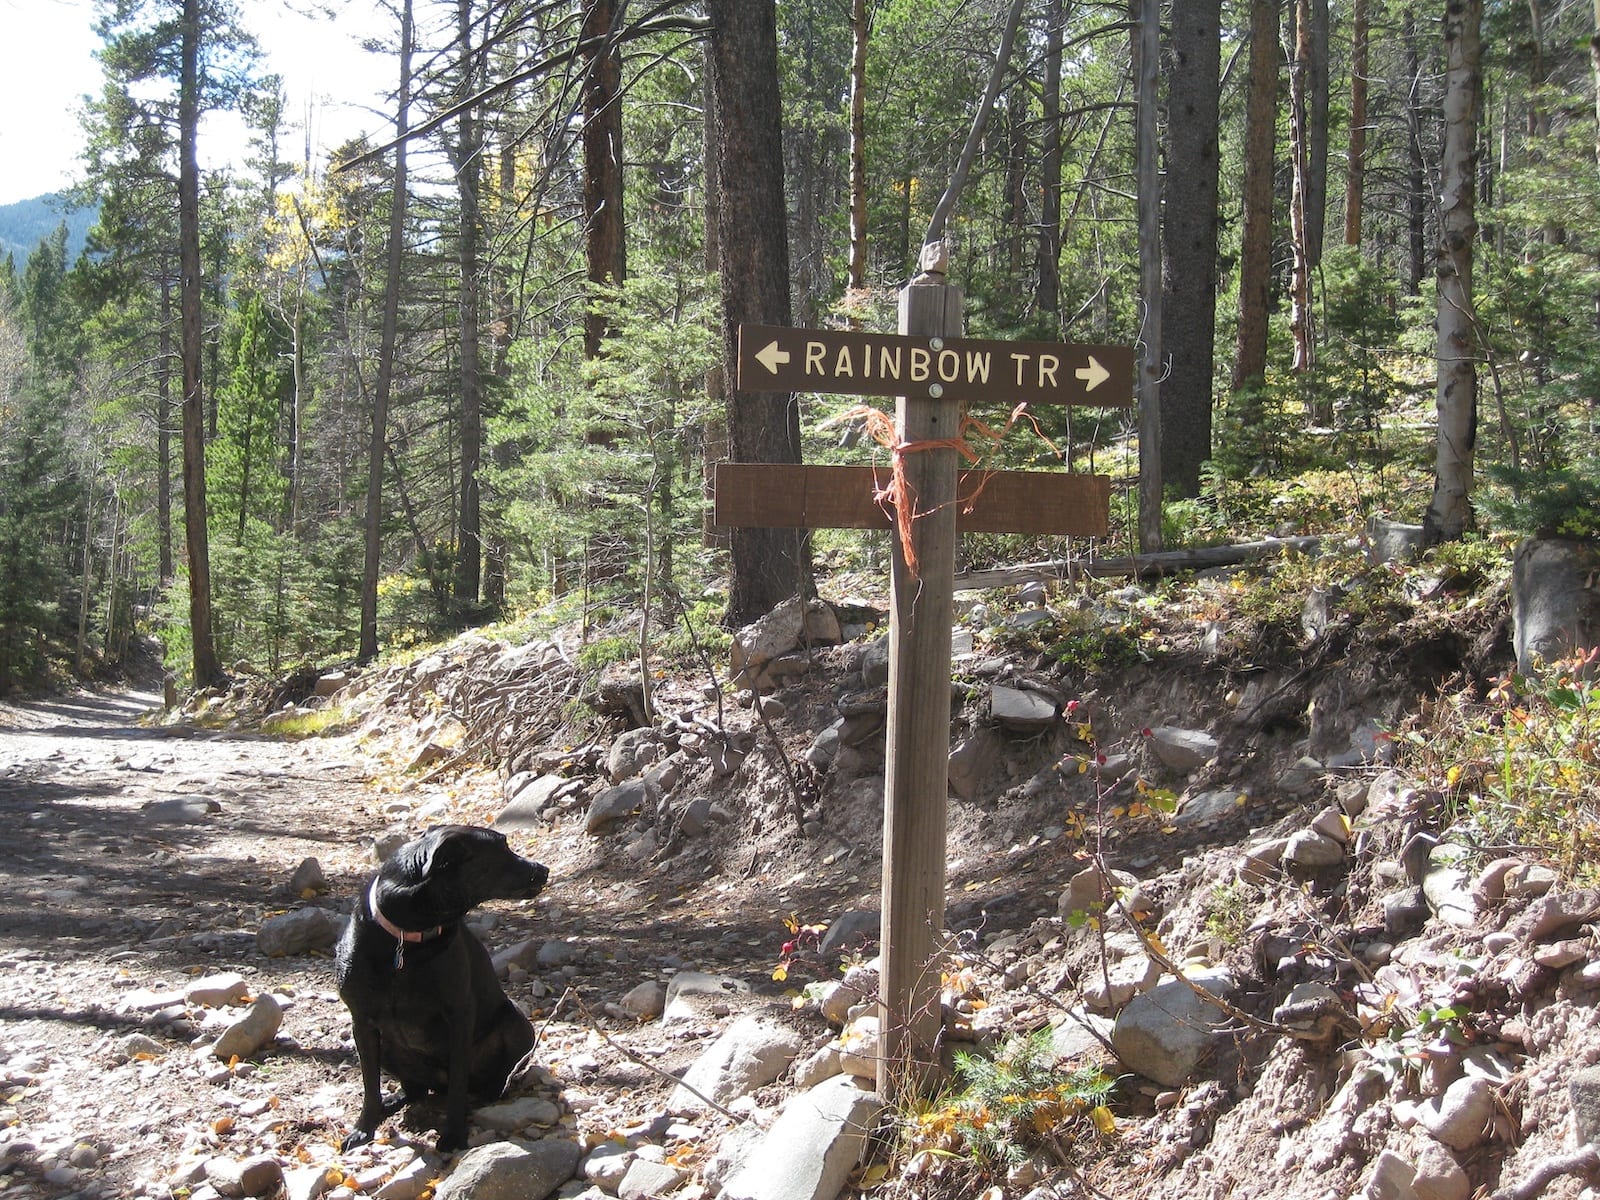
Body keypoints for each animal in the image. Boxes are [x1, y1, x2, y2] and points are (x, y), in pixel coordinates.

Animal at [334, 825, 547, 1158]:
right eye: (502, 850)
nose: (544, 870)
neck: (405, 938)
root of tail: (437, 1084)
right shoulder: (362, 1024)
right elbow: (370, 1085)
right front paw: (363, 1129)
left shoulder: (458, 1016)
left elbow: (458, 1085)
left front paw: (453, 1135)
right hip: (389, 1049)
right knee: (415, 1089)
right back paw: (392, 1102)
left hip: (518, 1026)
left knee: (484, 1081)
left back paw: (487, 1093)